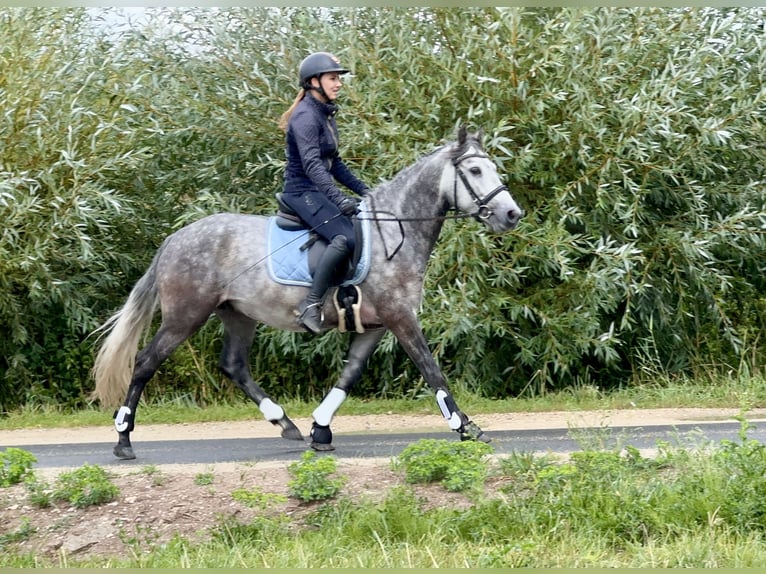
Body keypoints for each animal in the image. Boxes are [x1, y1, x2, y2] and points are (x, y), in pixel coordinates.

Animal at [88, 125, 520, 460]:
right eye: (475, 169)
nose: (512, 214)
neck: (395, 230)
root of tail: (174, 239)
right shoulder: (401, 318)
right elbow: (432, 371)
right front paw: (466, 428)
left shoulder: (377, 324)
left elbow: (350, 374)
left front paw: (320, 430)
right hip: (185, 316)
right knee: (145, 362)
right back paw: (123, 440)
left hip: (237, 314)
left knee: (234, 365)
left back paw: (285, 423)